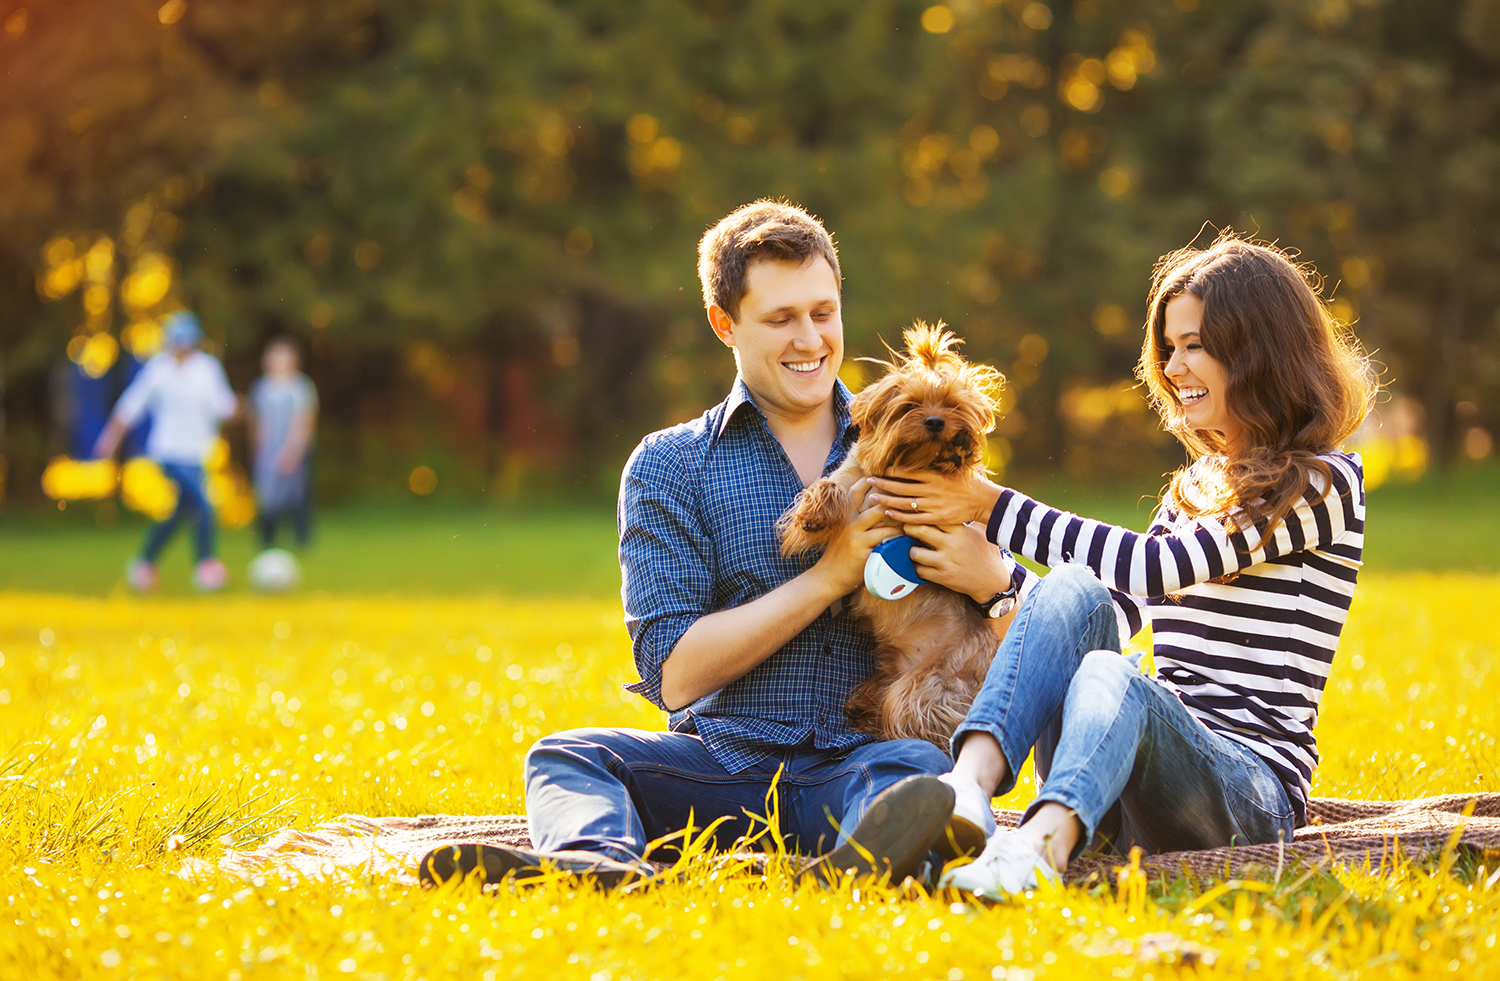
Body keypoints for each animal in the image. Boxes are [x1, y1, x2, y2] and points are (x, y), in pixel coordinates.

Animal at [774, 325, 1008, 753]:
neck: (909, 467)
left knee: (923, 719)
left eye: (952, 405)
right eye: (910, 406)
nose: (936, 422)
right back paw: (860, 709)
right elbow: (829, 485)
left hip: (926, 682)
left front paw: (959, 452)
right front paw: (813, 517)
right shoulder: (850, 478)